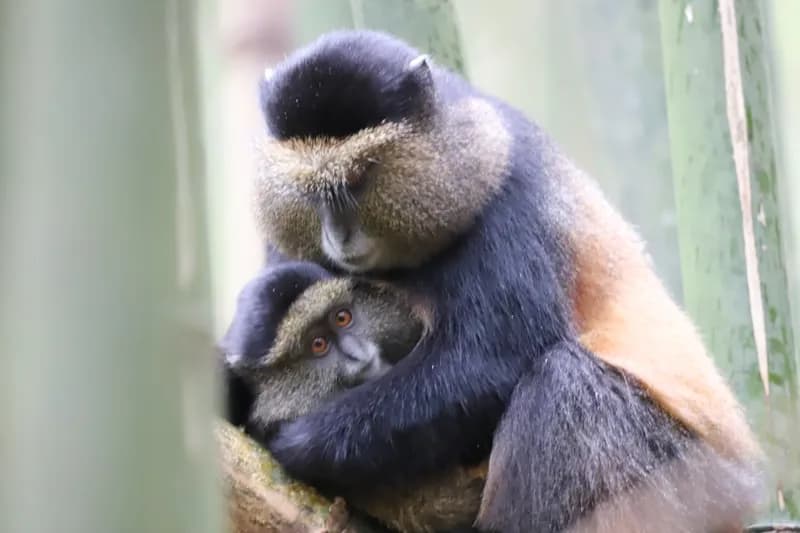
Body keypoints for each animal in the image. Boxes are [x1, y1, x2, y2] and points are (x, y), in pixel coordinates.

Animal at [251, 30, 763, 531]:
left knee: (563, 385)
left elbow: (495, 359)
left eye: (360, 176)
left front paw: (298, 442)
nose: (338, 234)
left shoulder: (506, 203)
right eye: (311, 190)